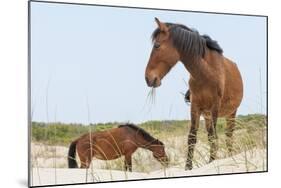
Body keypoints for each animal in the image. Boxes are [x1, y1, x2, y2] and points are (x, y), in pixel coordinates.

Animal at [144, 18, 243, 170]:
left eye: (157, 45)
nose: (148, 78)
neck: (205, 72)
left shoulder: (215, 107)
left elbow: (214, 137)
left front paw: (212, 162)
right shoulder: (195, 106)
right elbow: (192, 137)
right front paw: (188, 167)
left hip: (231, 113)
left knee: (229, 135)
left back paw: (229, 156)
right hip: (207, 115)